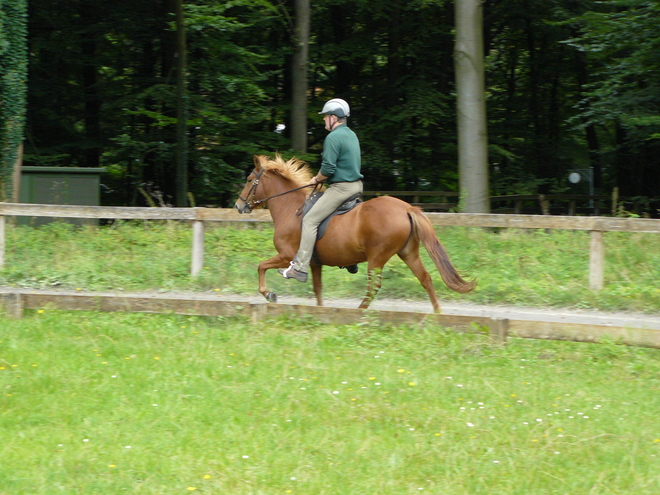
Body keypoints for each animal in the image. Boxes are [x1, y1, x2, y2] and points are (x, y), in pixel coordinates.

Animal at [235, 154, 472, 314]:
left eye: (249, 179)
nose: (238, 206)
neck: (290, 208)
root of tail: (407, 208)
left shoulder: (287, 255)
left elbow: (261, 266)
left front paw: (268, 293)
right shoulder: (315, 263)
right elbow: (318, 289)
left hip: (377, 257)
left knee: (374, 286)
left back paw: (359, 311)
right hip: (408, 253)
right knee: (425, 279)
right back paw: (438, 314)